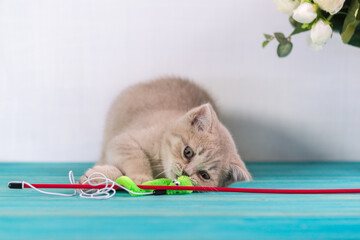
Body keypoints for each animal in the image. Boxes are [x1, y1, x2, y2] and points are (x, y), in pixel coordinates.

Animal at [80, 78, 252, 187]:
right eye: (188, 152)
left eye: (204, 175)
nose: (186, 172)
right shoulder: (124, 140)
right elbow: (136, 158)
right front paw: (141, 177)